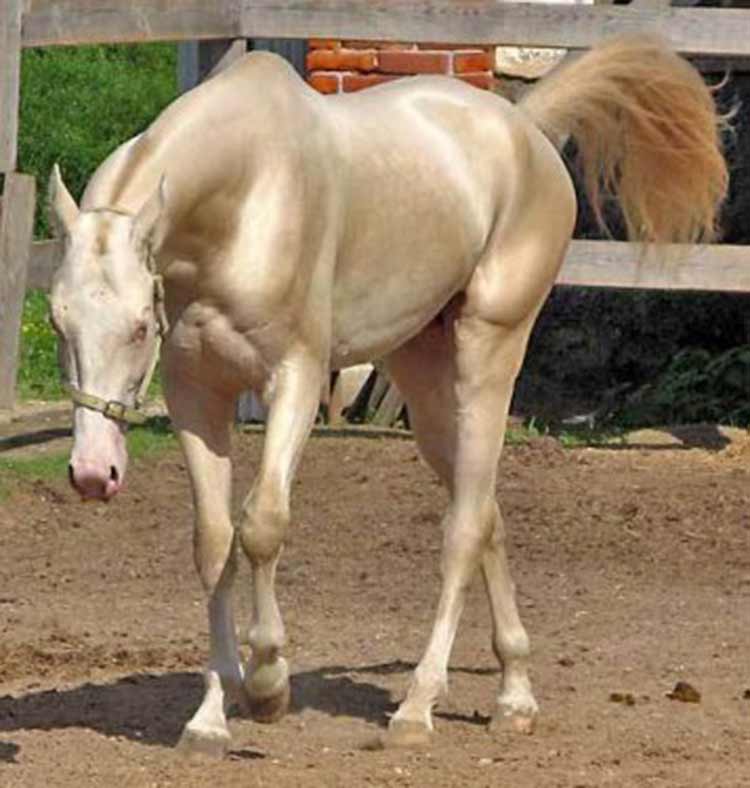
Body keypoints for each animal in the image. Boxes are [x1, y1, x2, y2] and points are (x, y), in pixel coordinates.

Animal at [47, 37, 728, 756]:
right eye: (58, 321)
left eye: (138, 327)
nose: (92, 474)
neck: (242, 201)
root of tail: (524, 128)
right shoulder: (196, 393)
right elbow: (213, 543)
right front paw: (209, 716)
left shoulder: (294, 379)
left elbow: (262, 526)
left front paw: (267, 686)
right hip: (423, 381)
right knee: (484, 512)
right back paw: (514, 696)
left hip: (488, 353)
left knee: (463, 528)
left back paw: (418, 707)